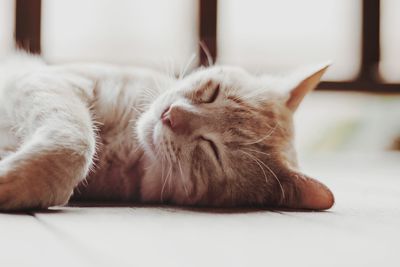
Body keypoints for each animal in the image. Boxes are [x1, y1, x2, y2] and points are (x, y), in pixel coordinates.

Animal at [0, 52, 332, 211]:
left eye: (212, 149)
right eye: (212, 93)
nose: (171, 115)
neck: (124, 144)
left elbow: (74, 146)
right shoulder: (43, 80)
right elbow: (77, 138)